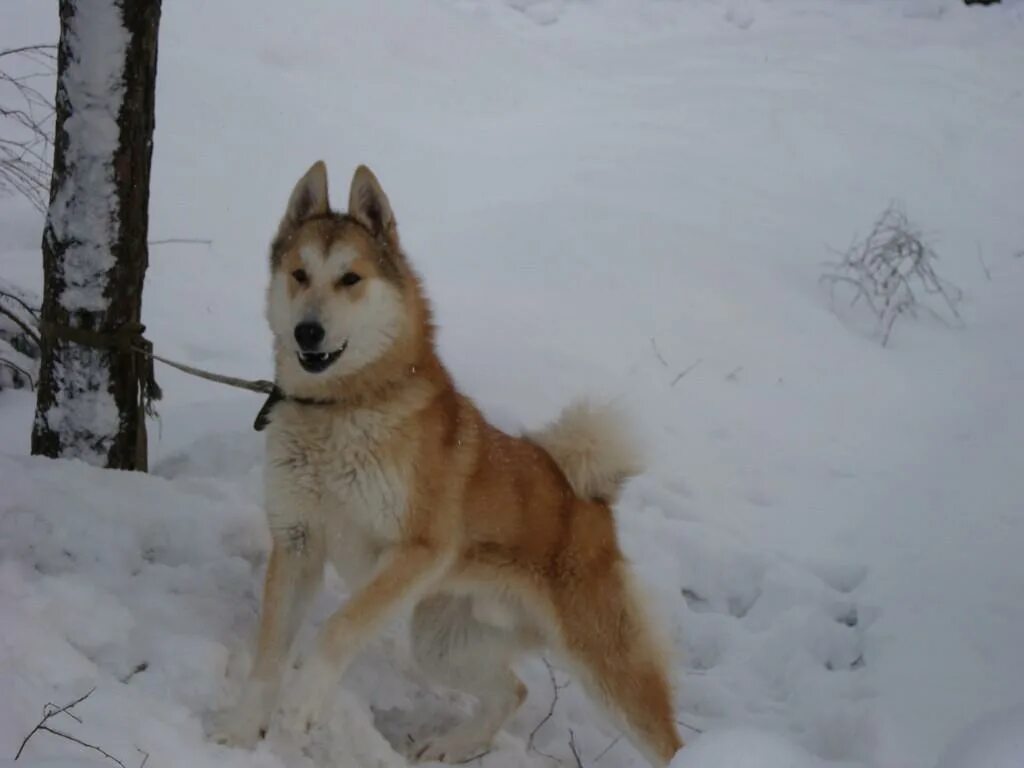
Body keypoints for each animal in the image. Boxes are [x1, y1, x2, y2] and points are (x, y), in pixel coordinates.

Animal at [211, 160, 684, 765]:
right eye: (299, 274)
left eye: (350, 279)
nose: (307, 331)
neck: (341, 409)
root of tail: (592, 501)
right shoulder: (297, 543)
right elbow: (269, 654)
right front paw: (240, 733)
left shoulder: (419, 550)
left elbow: (339, 627)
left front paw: (304, 702)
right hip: (441, 641)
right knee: (513, 691)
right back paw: (451, 746)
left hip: (606, 663)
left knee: (665, 739)